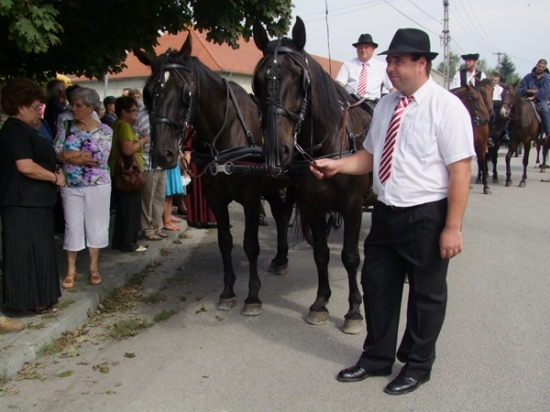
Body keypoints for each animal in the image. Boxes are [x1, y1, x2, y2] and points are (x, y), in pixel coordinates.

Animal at [134, 35, 296, 316]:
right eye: (147, 93)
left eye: (184, 93)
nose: (163, 154)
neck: (227, 129)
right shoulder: (215, 197)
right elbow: (225, 241)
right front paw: (228, 292)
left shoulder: (251, 197)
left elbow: (250, 244)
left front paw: (252, 296)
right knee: (281, 214)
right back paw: (280, 259)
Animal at [253, 17, 371, 334]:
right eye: (258, 81)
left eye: (300, 78)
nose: (276, 151)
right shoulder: (312, 206)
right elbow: (321, 254)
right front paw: (320, 303)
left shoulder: (353, 205)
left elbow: (350, 257)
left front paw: (354, 311)